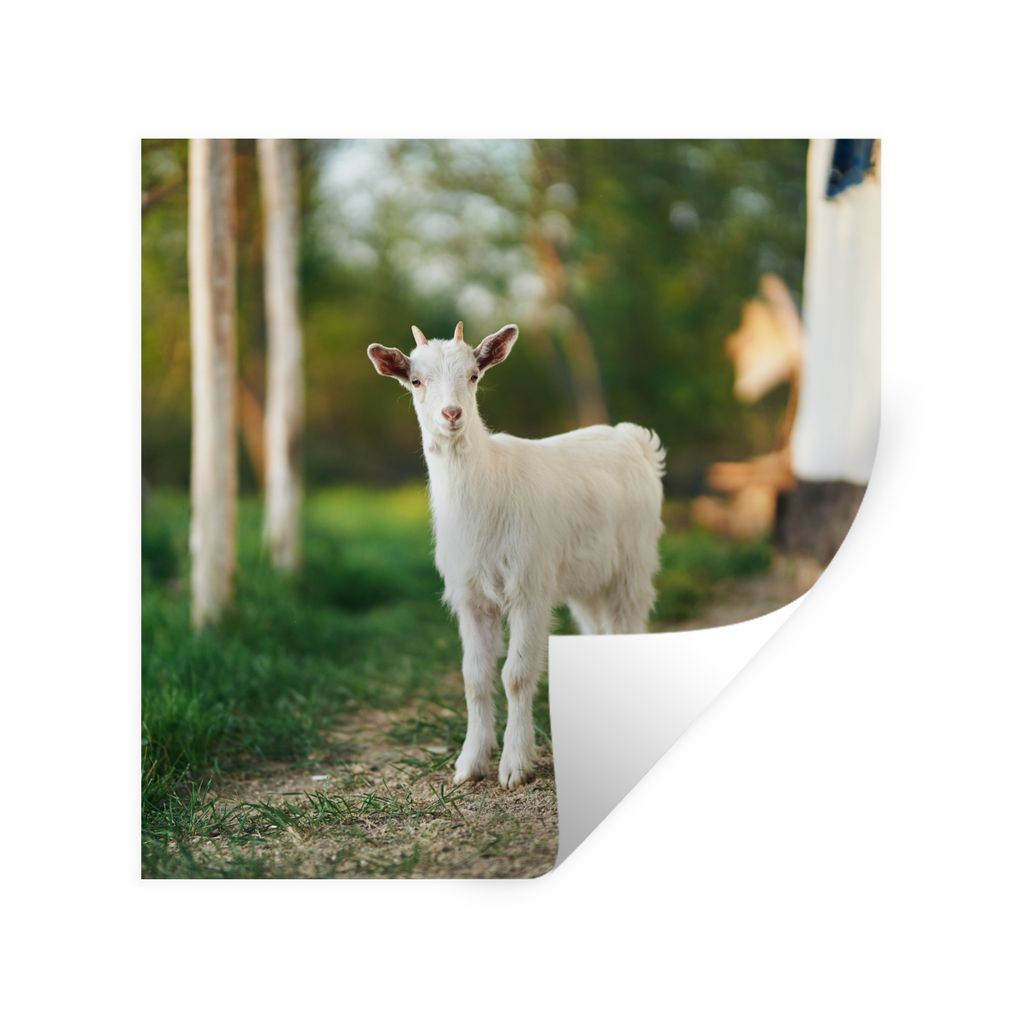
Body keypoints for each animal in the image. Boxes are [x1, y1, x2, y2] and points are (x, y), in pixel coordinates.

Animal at [368, 321, 665, 788]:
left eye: (474, 375)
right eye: (415, 381)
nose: (451, 415)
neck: (487, 488)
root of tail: (633, 438)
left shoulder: (530, 586)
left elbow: (517, 674)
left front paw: (514, 765)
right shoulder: (470, 595)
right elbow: (473, 676)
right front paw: (469, 764)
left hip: (632, 565)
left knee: (628, 628)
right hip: (586, 580)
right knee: (597, 630)